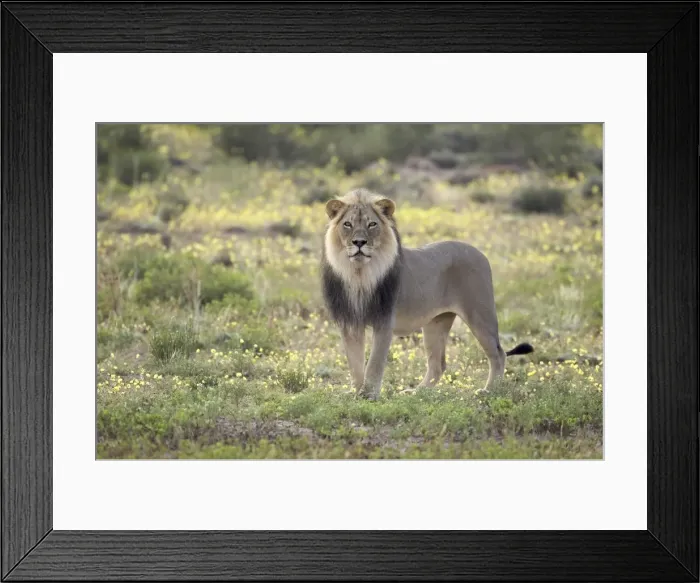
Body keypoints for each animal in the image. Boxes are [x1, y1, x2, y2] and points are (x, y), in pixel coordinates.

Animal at [320, 188, 533, 400]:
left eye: (372, 224)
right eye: (347, 224)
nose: (359, 242)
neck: (359, 274)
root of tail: (480, 253)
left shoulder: (384, 321)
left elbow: (374, 363)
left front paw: (368, 395)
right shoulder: (350, 323)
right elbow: (355, 363)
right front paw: (355, 393)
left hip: (480, 315)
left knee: (498, 353)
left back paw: (489, 391)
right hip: (436, 323)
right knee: (438, 364)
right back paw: (417, 392)